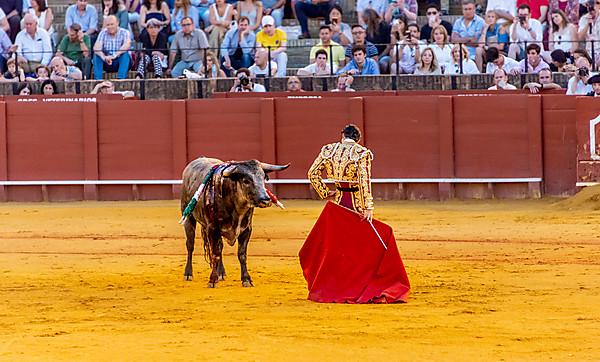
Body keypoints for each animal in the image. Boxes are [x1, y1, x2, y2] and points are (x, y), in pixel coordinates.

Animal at [179, 157, 290, 288]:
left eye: (263, 178)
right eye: (246, 181)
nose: (266, 200)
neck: (237, 208)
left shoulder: (246, 230)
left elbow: (241, 254)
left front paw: (246, 279)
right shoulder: (212, 229)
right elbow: (215, 254)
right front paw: (212, 280)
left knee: (220, 247)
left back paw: (221, 273)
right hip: (188, 217)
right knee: (190, 245)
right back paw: (188, 274)